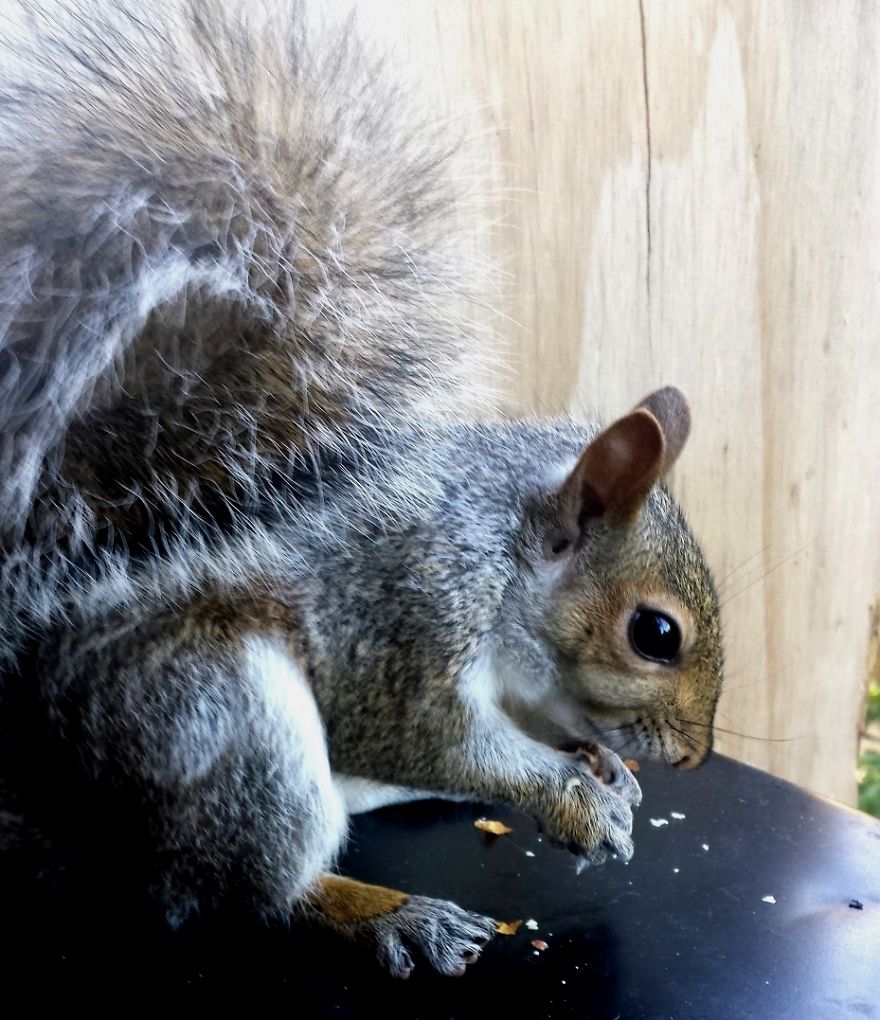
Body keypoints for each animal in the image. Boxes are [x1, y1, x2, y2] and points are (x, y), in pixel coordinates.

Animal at [0, 0, 723, 979]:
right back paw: (386, 913)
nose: (693, 759)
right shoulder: (406, 615)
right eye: (656, 634)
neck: (502, 553)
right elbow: (431, 736)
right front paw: (571, 795)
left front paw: (600, 769)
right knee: (260, 887)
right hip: (223, 721)